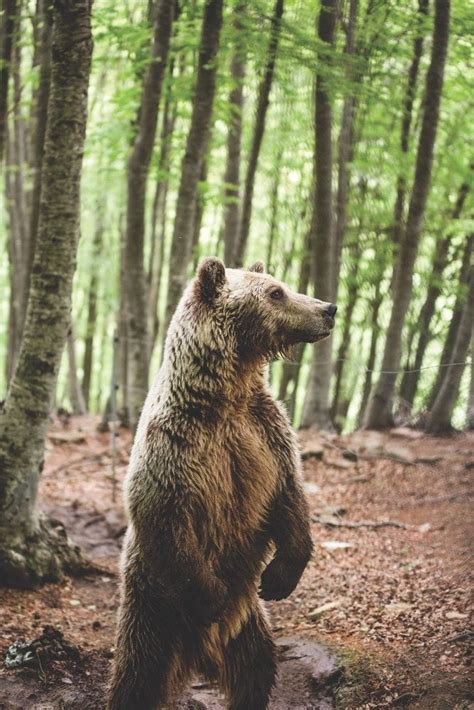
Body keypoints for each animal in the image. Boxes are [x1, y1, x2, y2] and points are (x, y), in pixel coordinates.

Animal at [107, 258, 336, 708]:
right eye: (276, 292)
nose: (328, 308)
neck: (225, 396)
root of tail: (200, 651)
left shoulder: (266, 434)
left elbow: (290, 495)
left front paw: (280, 578)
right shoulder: (174, 446)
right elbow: (164, 514)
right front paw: (210, 596)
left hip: (249, 622)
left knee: (257, 667)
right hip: (150, 605)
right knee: (137, 676)